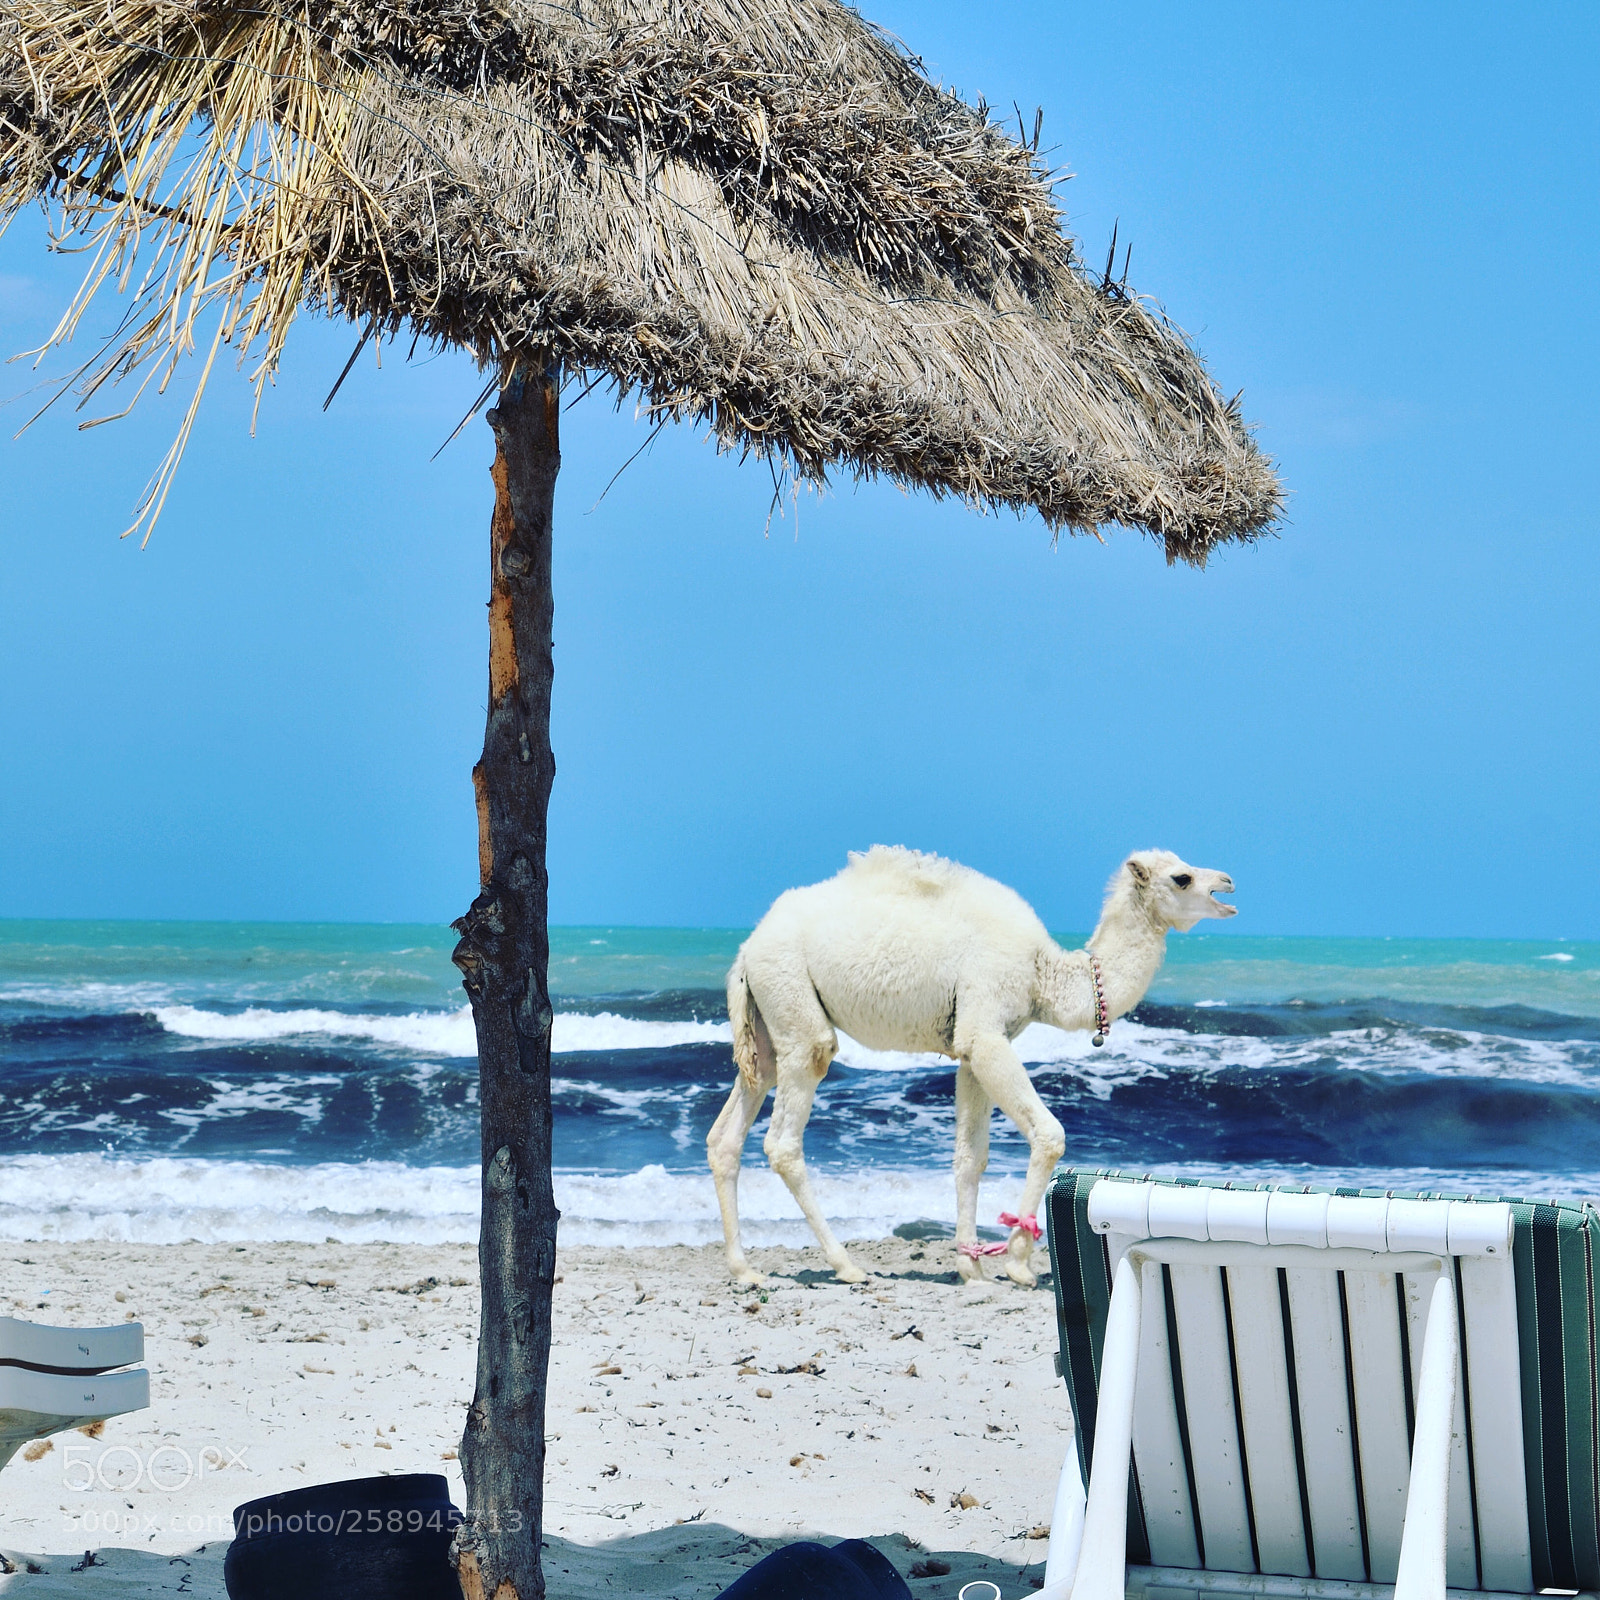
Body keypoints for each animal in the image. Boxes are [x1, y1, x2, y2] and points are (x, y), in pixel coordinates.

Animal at [707, 847, 1236, 1287]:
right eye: (1183, 877)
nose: (1229, 884)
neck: (1044, 973)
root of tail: (746, 950)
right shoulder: (986, 1031)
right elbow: (1049, 1134)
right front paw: (1019, 1265)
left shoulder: (968, 1047)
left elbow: (970, 1157)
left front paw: (972, 1269)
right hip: (794, 999)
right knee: (785, 1134)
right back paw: (846, 1265)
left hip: (767, 1026)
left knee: (727, 1133)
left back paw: (744, 1270)